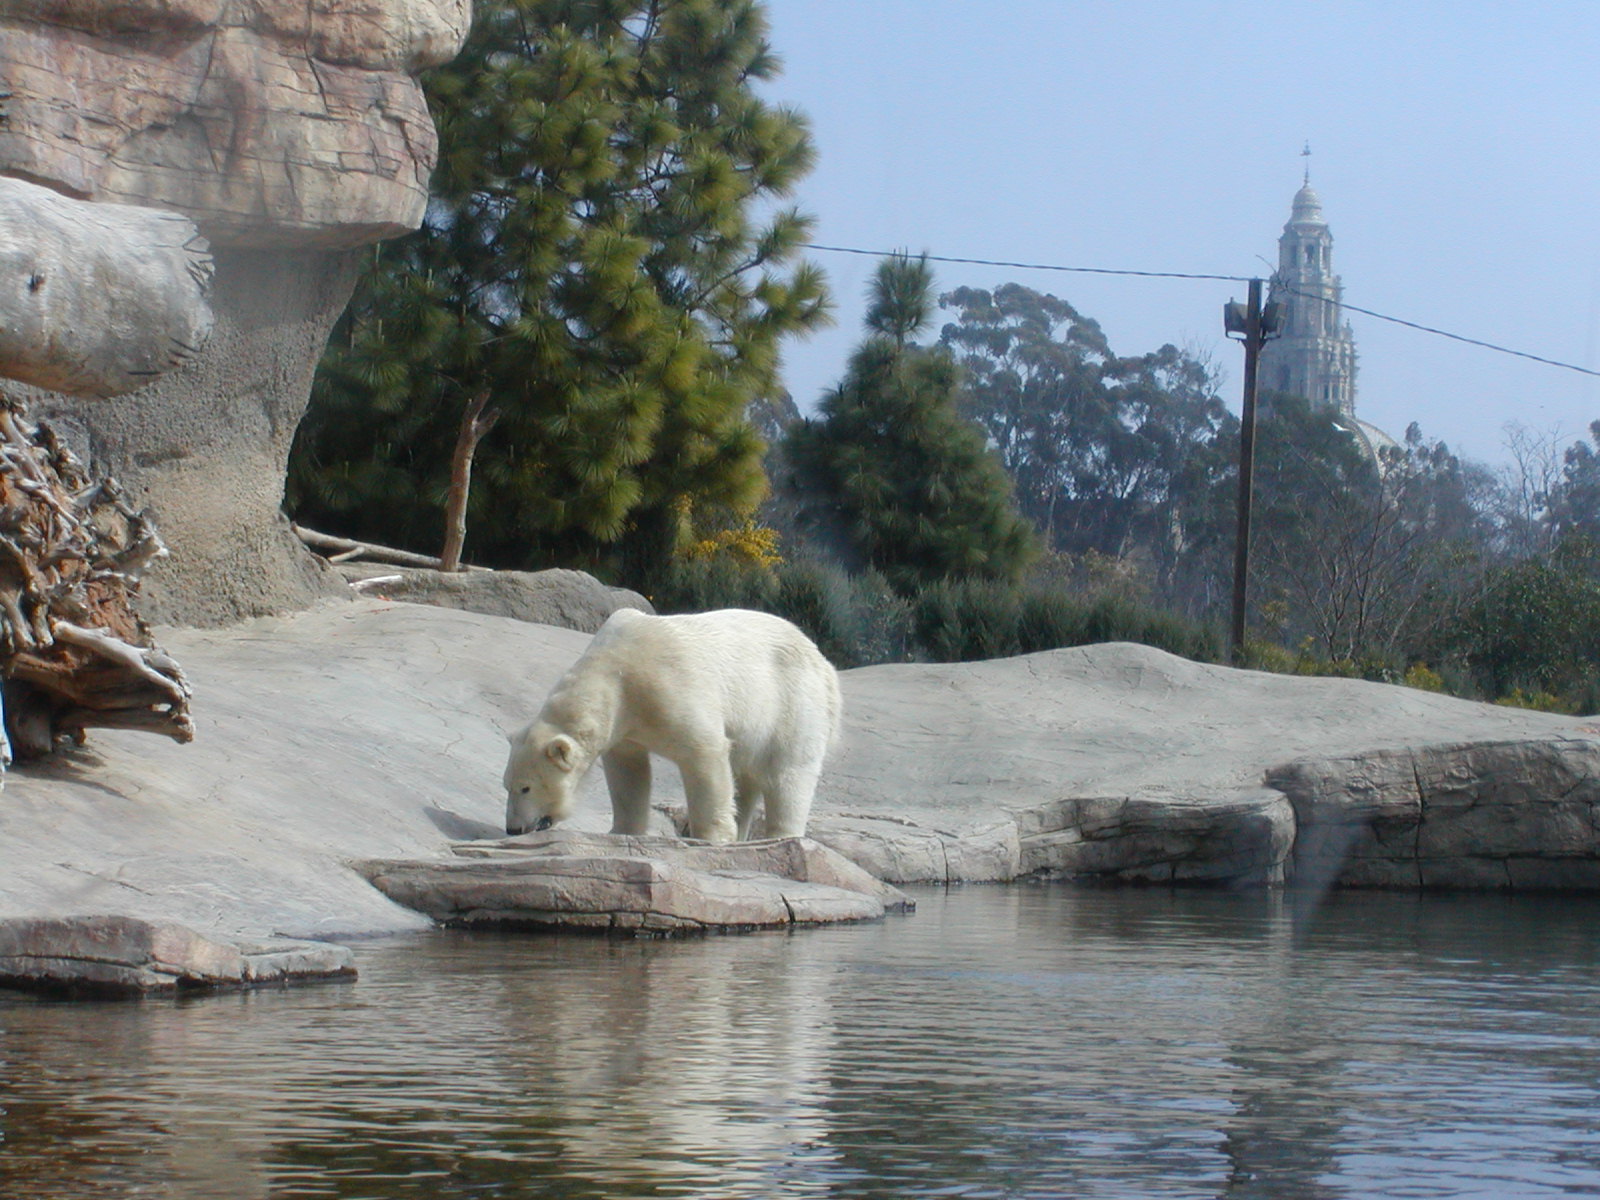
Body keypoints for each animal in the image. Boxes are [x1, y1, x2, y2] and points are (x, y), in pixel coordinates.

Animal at [504, 607, 841, 844]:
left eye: (526, 787)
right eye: (507, 785)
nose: (513, 828)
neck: (616, 670)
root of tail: (825, 665)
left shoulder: (669, 684)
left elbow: (704, 752)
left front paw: (711, 836)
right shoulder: (625, 724)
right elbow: (628, 771)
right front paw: (622, 831)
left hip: (792, 702)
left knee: (789, 773)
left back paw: (782, 836)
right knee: (746, 778)